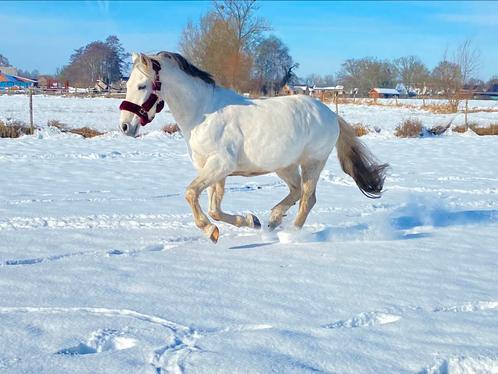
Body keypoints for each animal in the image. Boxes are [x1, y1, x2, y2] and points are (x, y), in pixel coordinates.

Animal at [118, 51, 388, 243]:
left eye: (142, 86)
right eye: (128, 84)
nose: (125, 126)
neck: (203, 113)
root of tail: (330, 114)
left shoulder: (220, 165)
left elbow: (191, 194)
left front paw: (209, 230)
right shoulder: (214, 170)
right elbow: (214, 208)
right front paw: (250, 221)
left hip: (312, 162)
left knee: (307, 199)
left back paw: (291, 234)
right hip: (285, 166)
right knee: (296, 192)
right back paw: (273, 220)